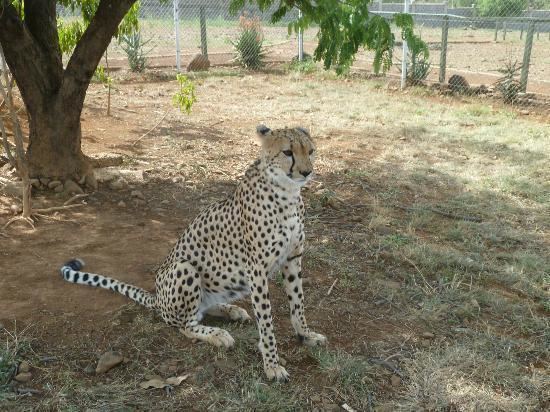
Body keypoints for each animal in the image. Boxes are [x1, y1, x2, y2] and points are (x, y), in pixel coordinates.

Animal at [60, 124, 328, 382]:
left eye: (311, 151)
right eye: (288, 152)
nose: (307, 172)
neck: (287, 193)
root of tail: (157, 298)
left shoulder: (293, 258)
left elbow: (298, 303)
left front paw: (305, 335)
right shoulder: (257, 269)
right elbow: (266, 320)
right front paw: (272, 364)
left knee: (201, 308)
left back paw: (232, 310)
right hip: (184, 267)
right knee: (184, 324)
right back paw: (218, 334)